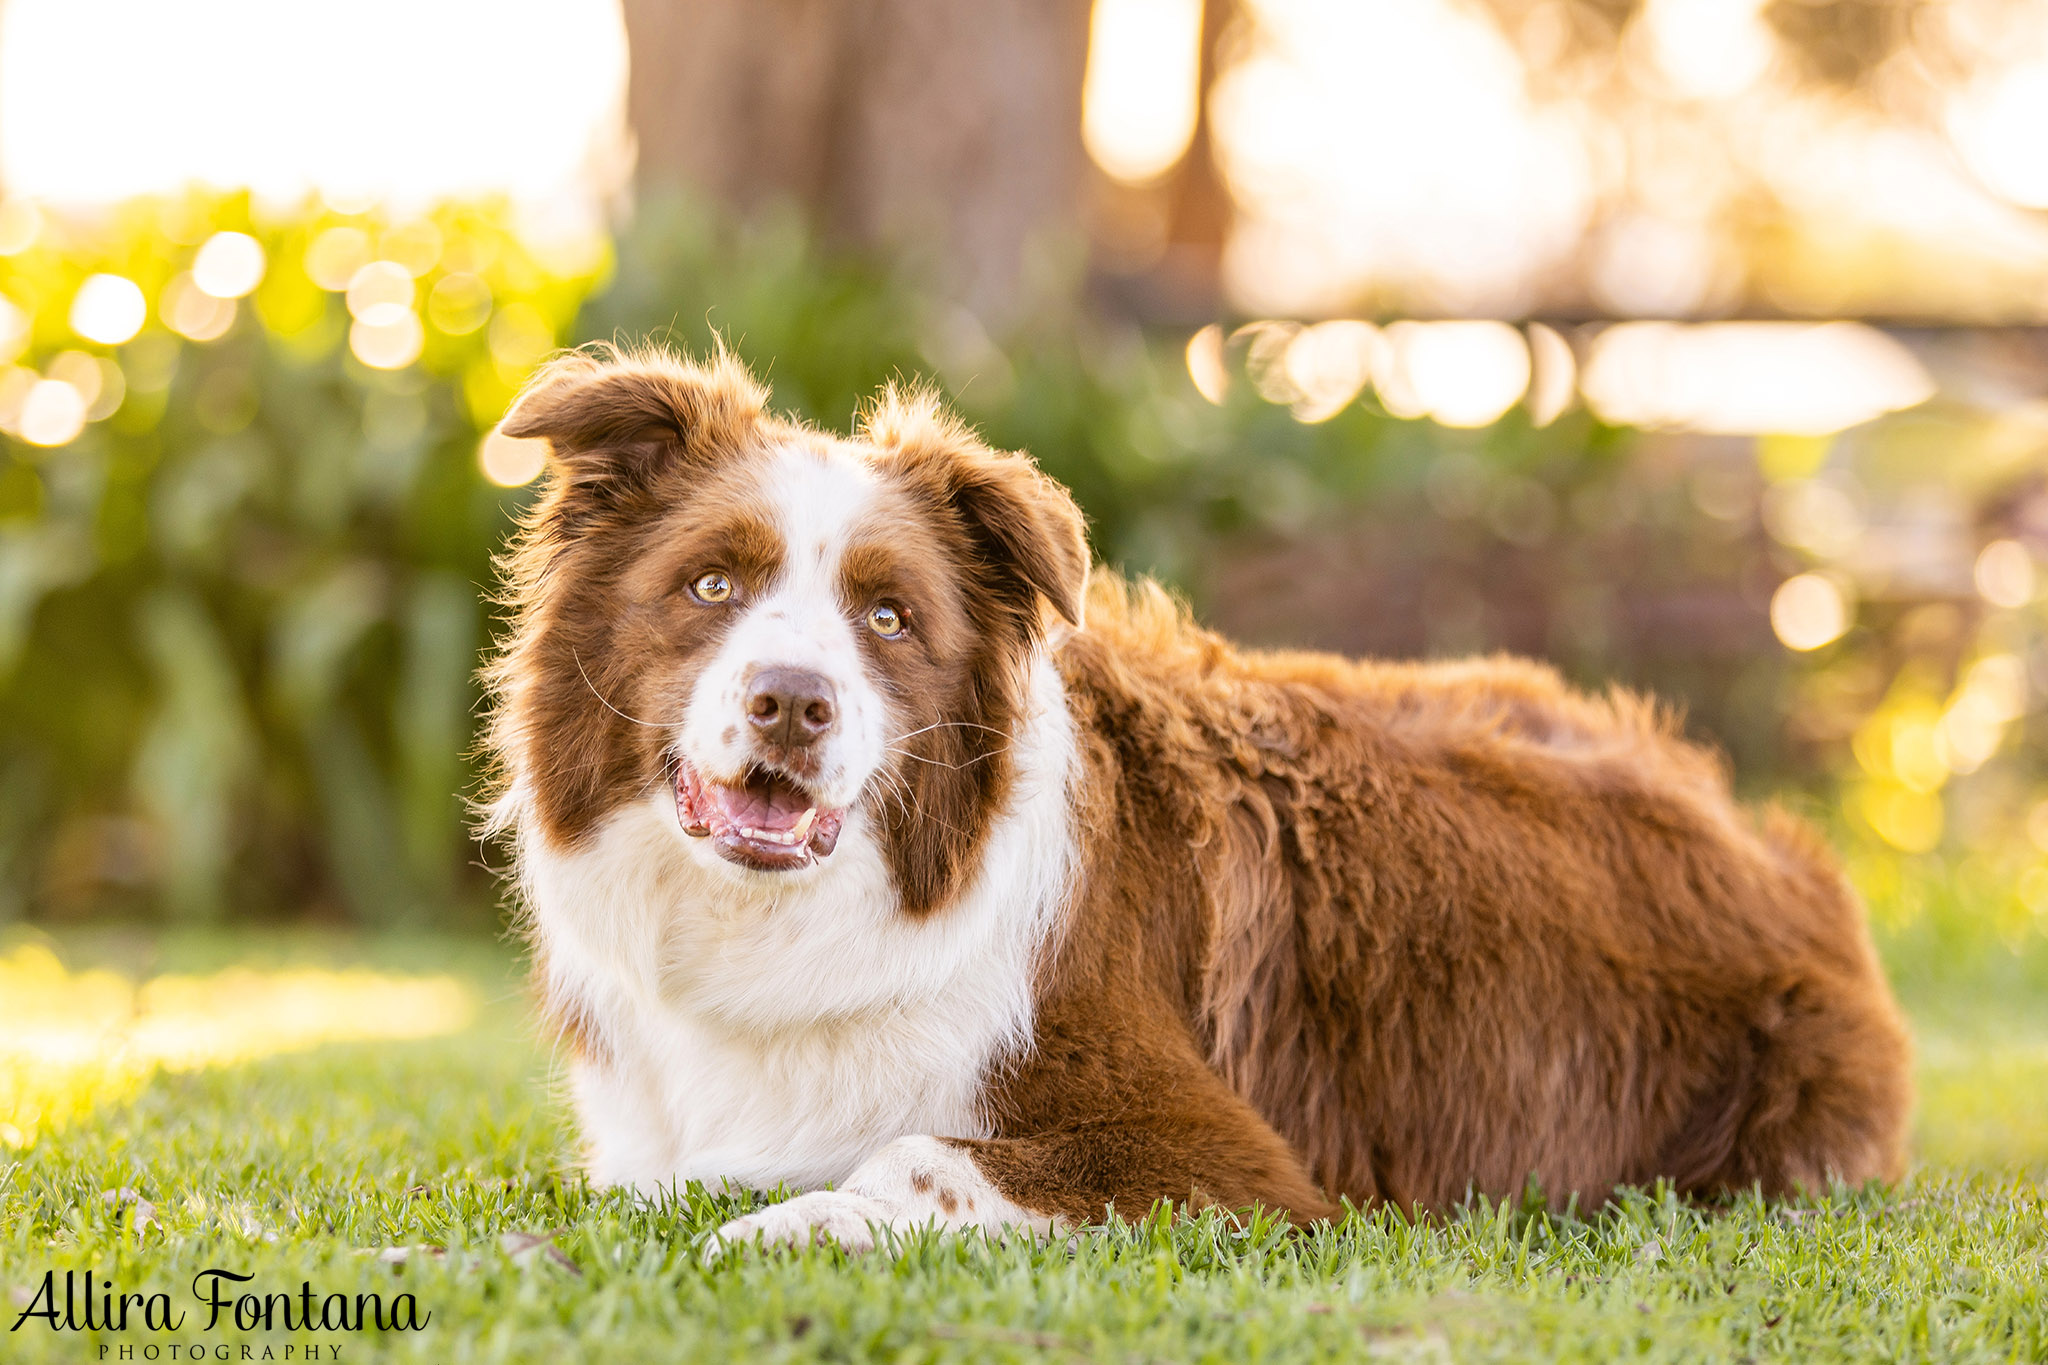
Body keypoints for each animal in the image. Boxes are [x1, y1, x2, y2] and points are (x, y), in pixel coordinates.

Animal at [483, 347, 1916, 1252]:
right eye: (711, 585)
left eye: (887, 617)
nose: (791, 702)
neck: (796, 920)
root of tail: (1770, 844)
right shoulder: (642, 1143)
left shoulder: (1229, 1162)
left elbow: (910, 1155)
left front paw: (771, 1228)